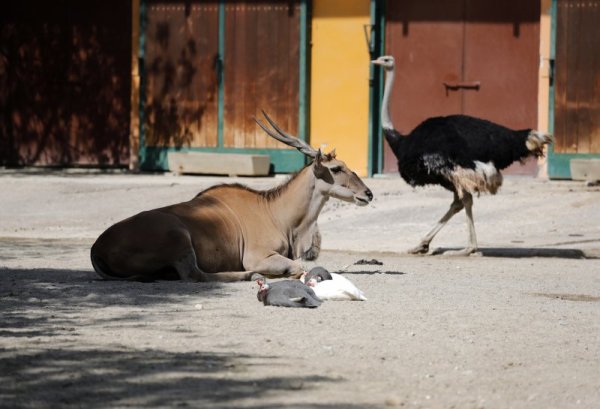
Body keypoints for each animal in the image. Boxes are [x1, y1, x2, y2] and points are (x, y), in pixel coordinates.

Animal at [91, 112, 372, 284]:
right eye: (337, 168)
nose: (368, 193)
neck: (274, 211)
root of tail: (97, 247)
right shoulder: (257, 256)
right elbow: (298, 268)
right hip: (178, 235)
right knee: (195, 275)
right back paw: (249, 276)